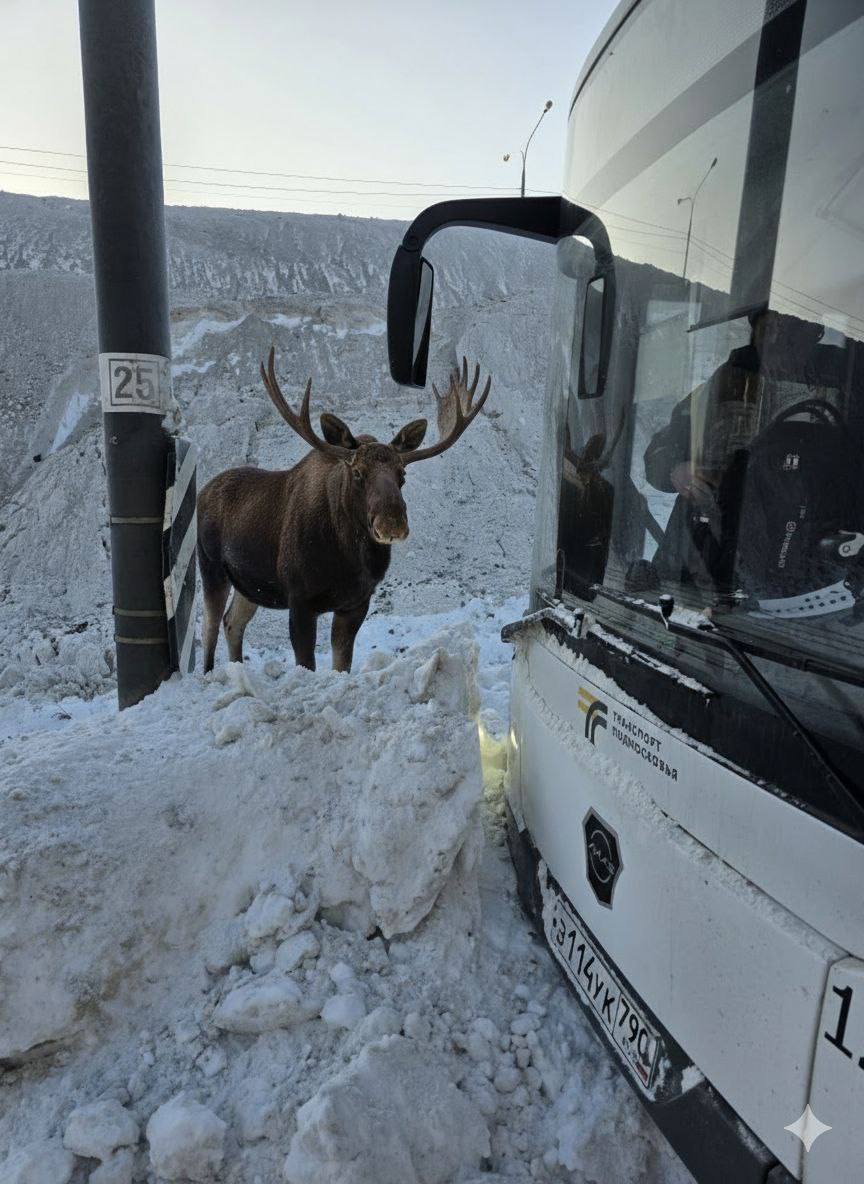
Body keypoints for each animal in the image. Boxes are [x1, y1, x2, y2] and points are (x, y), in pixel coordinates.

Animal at [197, 348, 491, 674]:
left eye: (402, 474)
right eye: (358, 472)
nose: (392, 523)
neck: (347, 559)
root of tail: (203, 490)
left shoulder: (356, 602)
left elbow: (342, 663)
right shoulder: (300, 599)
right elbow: (306, 663)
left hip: (249, 584)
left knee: (232, 622)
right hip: (211, 566)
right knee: (210, 626)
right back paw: (209, 673)